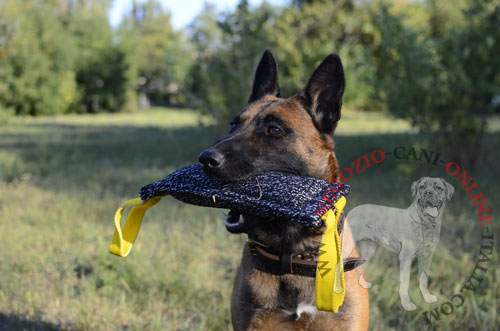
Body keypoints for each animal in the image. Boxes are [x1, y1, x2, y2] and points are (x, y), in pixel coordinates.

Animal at [346, 178, 456, 312]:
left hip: (369, 248)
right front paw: (407, 304)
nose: (428, 193)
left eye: (438, 188)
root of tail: (353, 210)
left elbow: (424, 278)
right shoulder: (406, 257)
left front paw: (427, 297)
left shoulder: (427, 256)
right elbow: (405, 282)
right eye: (422, 187)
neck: (426, 223)